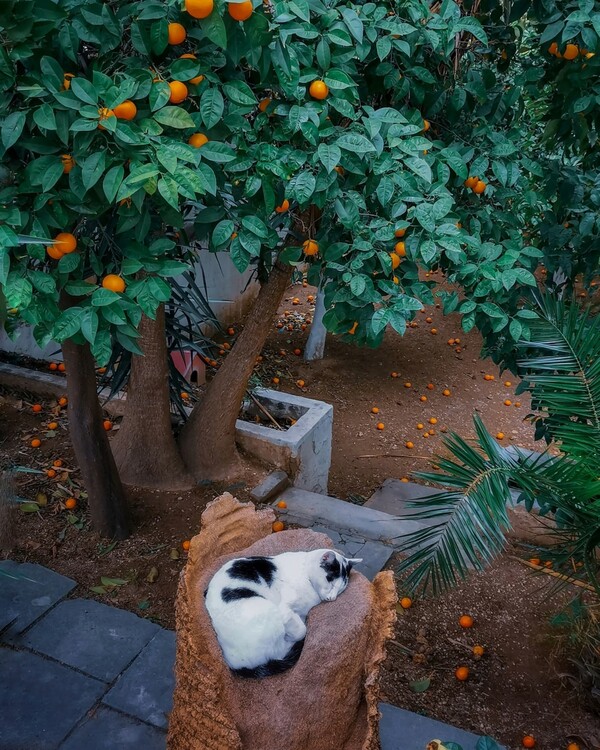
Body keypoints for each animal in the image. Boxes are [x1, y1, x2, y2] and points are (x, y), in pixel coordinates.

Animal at [205, 548, 360, 680]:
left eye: (341, 588)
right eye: (330, 580)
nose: (332, 598)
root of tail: (232, 663)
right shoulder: (283, 608)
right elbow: (301, 629)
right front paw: (295, 626)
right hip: (268, 612)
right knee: (279, 652)